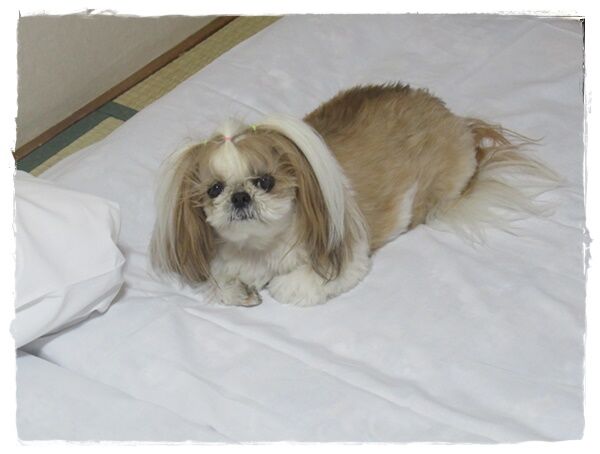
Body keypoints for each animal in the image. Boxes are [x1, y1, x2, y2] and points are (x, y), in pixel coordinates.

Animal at [150, 83, 559, 307]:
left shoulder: (345, 255)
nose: (239, 197)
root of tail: (453, 118)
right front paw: (241, 291)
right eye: (215, 189)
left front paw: (276, 285)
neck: (260, 247)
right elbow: (224, 282)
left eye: (264, 181)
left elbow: (294, 283)